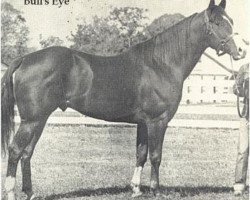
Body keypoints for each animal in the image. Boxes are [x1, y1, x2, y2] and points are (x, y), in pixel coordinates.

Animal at [0, 0, 247, 199]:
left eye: (232, 21)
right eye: (216, 22)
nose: (242, 51)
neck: (161, 64)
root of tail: (24, 59)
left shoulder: (143, 123)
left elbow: (141, 154)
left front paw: (136, 189)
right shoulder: (157, 121)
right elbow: (155, 155)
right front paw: (156, 190)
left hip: (39, 119)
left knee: (27, 153)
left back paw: (30, 193)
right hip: (31, 120)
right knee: (15, 150)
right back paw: (11, 192)